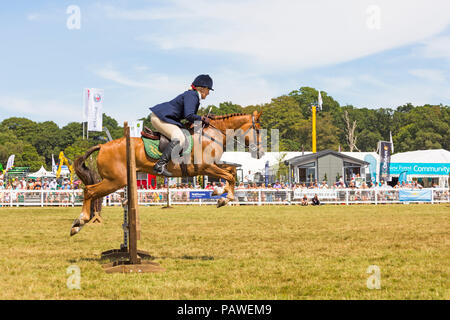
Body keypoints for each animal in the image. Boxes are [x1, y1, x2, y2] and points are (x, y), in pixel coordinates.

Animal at [70, 110, 264, 235]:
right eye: (258, 130)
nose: (260, 153)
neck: (211, 135)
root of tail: (102, 146)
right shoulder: (205, 167)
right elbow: (230, 175)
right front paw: (224, 198)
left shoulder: (214, 165)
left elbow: (231, 170)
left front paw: (219, 192)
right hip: (115, 180)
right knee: (89, 191)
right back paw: (79, 222)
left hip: (116, 180)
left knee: (91, 192)